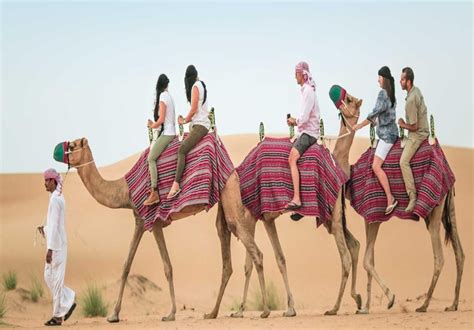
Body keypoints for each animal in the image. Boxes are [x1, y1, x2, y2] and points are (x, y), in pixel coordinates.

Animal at [63, 137, 272, 322]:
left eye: (72, 146)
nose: (60, 155)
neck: (125, 191)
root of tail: (232, 168)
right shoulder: (140, 220)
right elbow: (126, 265)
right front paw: (114, 315)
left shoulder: (153, 221)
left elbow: (167, 267)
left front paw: (170, 314)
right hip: (224, 199)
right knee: (226, 253)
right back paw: (212, 313)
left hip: (229, 194)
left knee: (254, 250)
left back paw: (265, 311)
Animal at [227, 90, 366, 318]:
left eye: (350, 100)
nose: (340, 98)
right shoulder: (268, 217)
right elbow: (278, 258)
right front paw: (288, 307)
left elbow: (277, 258)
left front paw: (287, 308)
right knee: (353, 247)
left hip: (330, 218)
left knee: (346, 256)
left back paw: (335, 307)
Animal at [328, 86, 464, 314]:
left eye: (350, 99)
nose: (336, 93)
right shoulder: (369, 218)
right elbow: (369, 258)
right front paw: (365, 307)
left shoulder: (373, 213)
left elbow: (367, 260)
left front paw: (389, 299)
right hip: (448, 206)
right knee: (459, 252)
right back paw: (452, 304)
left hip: (434, 210)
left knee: (439, 258)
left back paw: (424, 305)